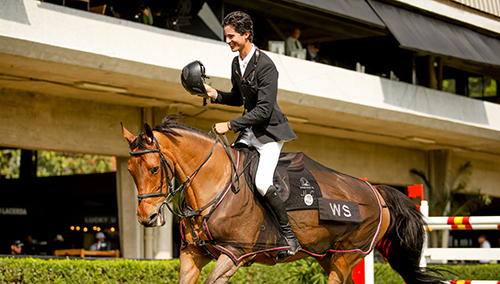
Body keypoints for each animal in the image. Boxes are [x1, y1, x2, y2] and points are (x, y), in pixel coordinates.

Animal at [123, 113, 448, 284]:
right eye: (129, 170)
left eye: (154, 168)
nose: (146, 217)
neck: (214, 184)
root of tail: (376, 191)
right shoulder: (193, 254)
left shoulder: (233, 254)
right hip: (328, 256)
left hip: (348, 255)